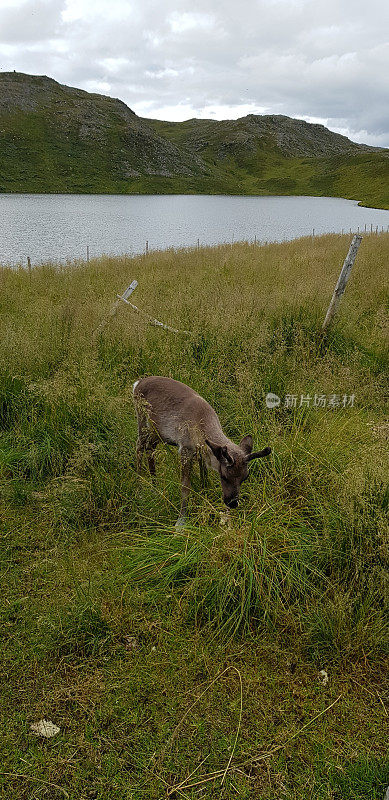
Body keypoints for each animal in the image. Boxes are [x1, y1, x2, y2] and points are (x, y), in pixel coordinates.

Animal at [133, 376, 270, 524]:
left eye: (245, 477)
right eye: (224, 476)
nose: (232, 503)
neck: (201, 426)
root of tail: (137, 384)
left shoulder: (201, 452)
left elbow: (204, 478)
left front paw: (205, 496)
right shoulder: (185, 449)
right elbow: (185, 486)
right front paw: (181, 520)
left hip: (156, 433)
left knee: (150, 450)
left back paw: (154, 486)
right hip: (143, 422)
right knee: (139, 447)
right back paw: (139, 487)